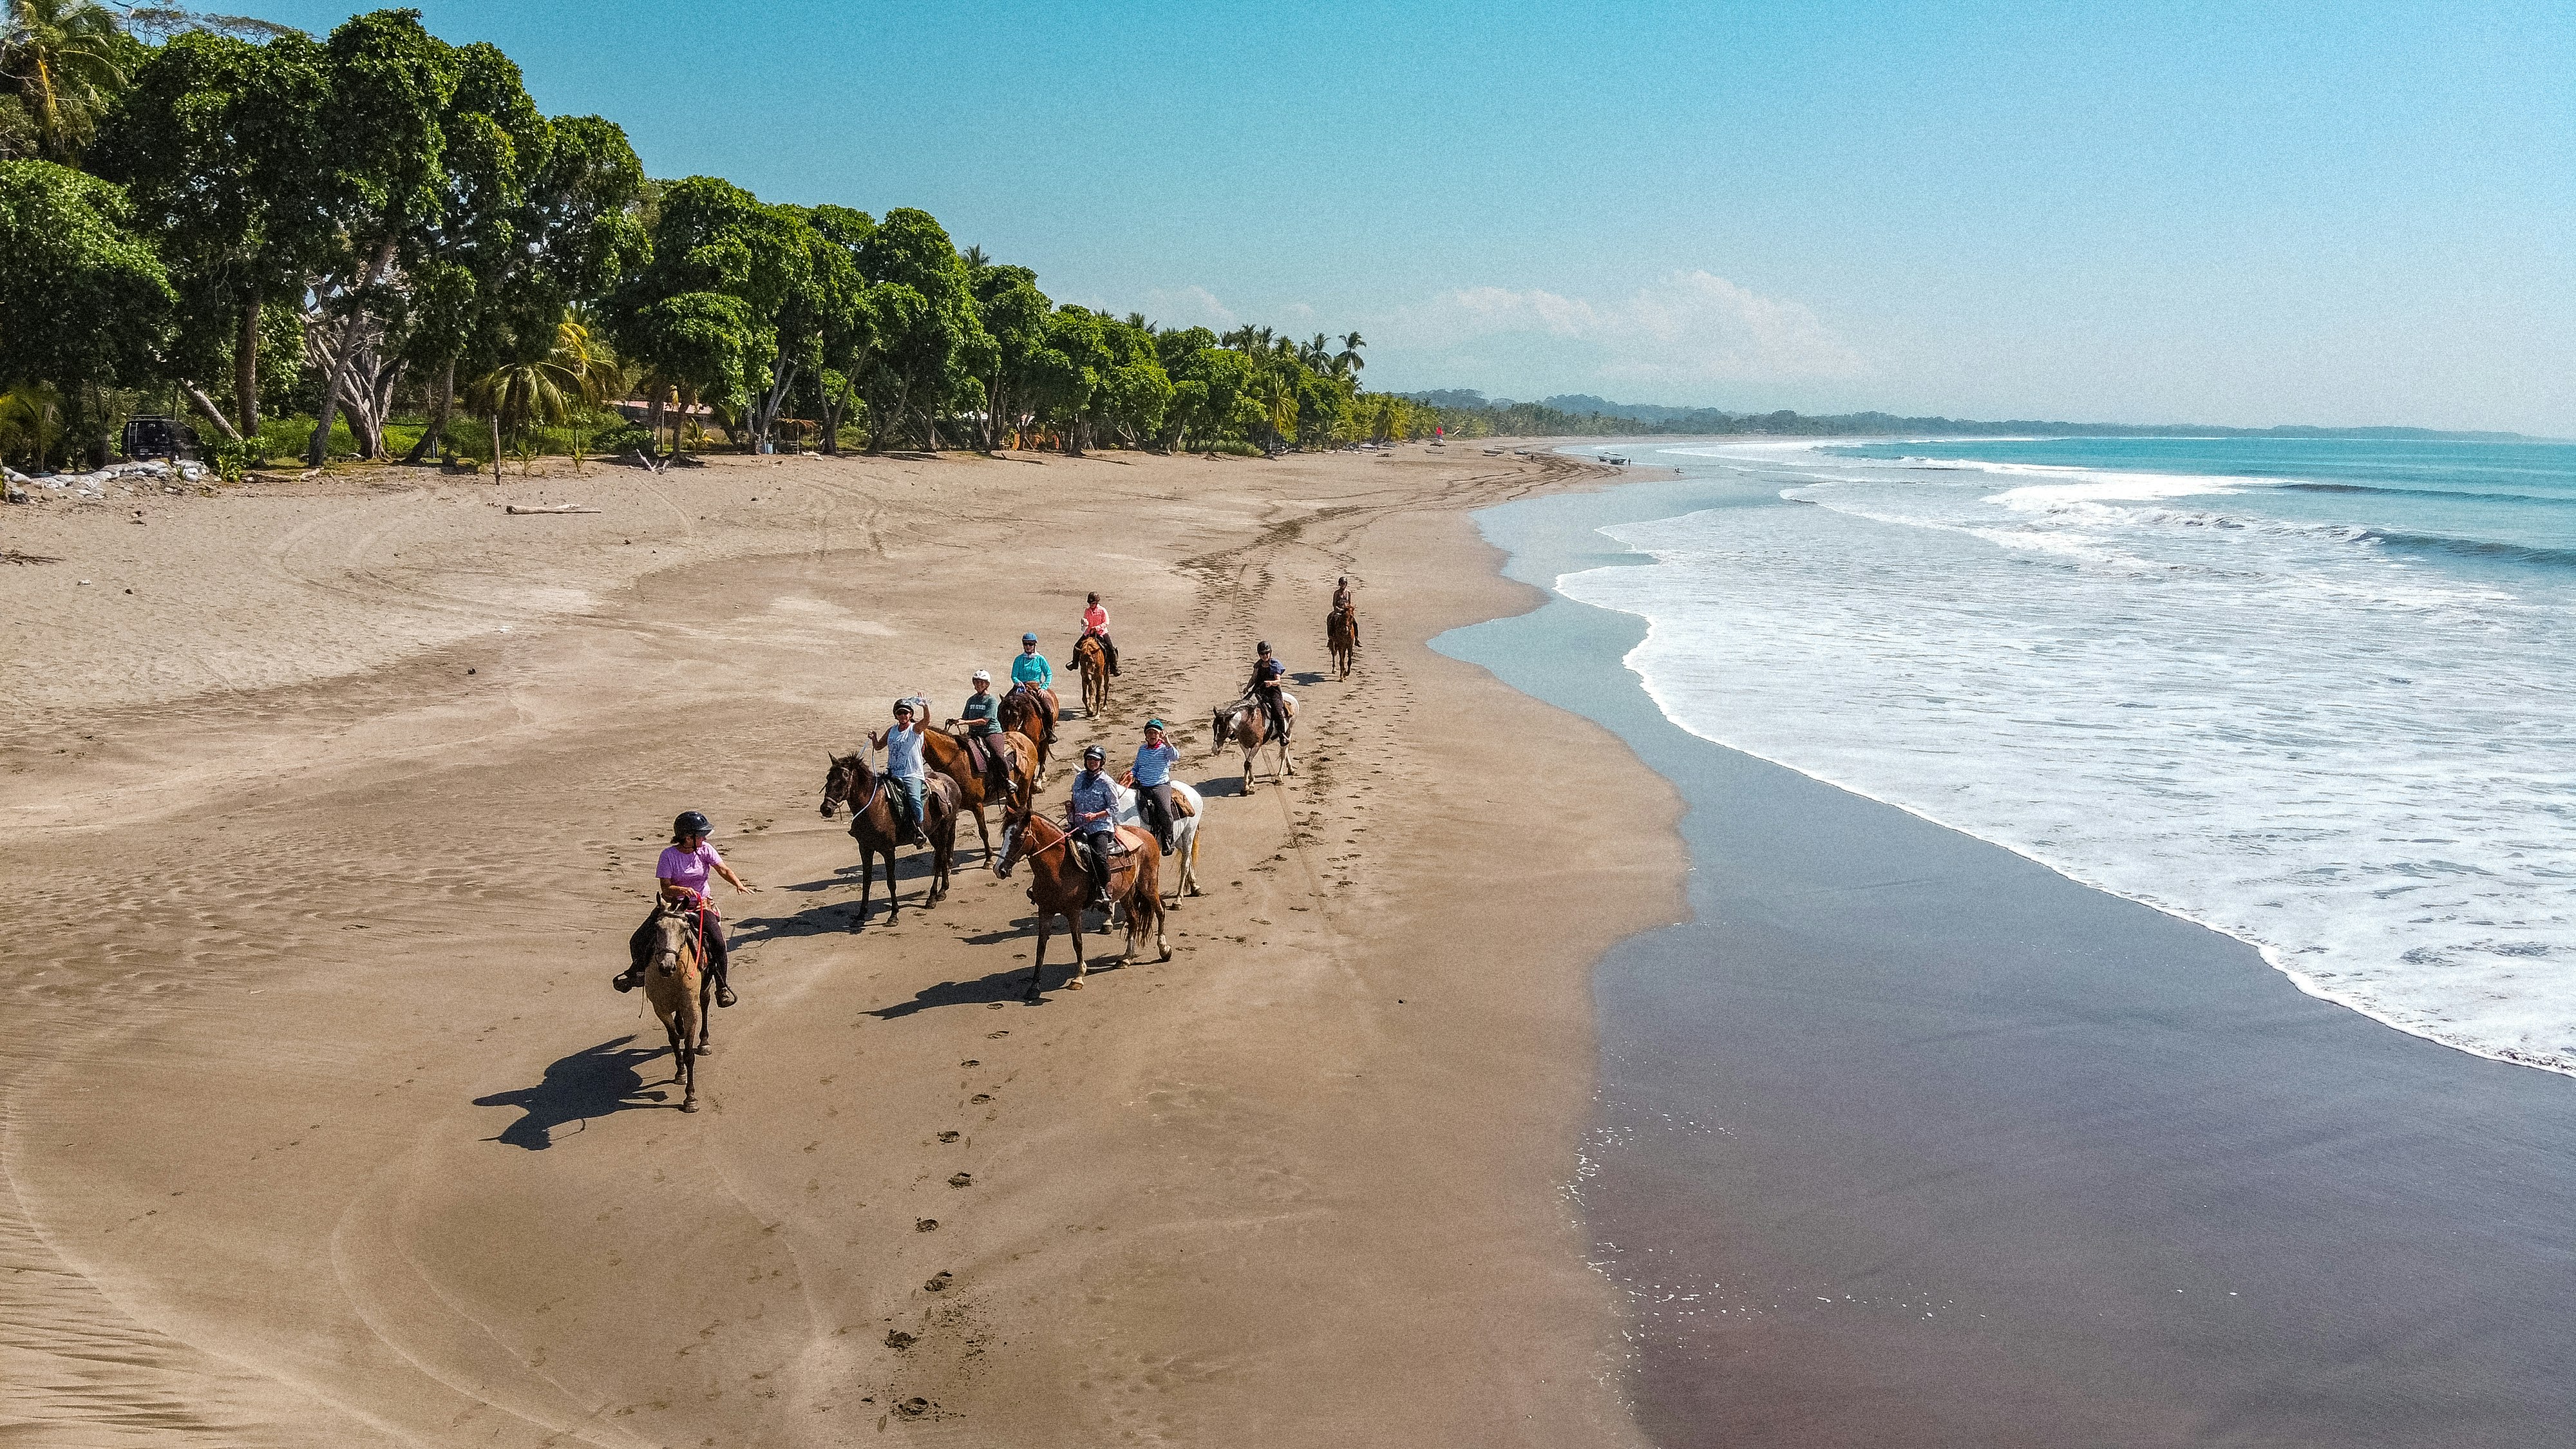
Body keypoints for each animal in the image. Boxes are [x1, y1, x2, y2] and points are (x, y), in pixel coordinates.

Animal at [644, 897, 716, 1108]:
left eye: (684, 929)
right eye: (657, 927)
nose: (666, 966)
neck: (673, 977)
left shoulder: (691, 1009)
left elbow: (689, 1053)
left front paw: (690, 1098)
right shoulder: (660, 1009)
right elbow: (675, 1040)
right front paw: (680, 1073)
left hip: (705, 987)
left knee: (705, 1003)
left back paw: (704, 1043)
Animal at [819, 743, 963, 923]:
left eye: (844, 779)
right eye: (828, 778)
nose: (826, 809)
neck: (873, 806)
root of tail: (951, 783)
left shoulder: (888, 850)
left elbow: (891, 882)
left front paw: (894, 914)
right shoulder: (865, 848)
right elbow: (867, 881)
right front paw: (861, 914)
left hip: (944, 828)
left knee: (939, 859)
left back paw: (932, 898)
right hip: (933, 832)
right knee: (942, 856)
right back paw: (942, 891)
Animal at [922, 721, 1030, 856]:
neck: (956, 762)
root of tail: (1024, 738)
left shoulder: (977, 805)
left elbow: (983, 831)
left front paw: (989, 856)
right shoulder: (954, 808)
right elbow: (951, 838)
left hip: (1026, 782)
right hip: (1009, 793)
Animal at [999, 794, 1175, 1000]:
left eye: (1019, 836)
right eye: (1004, 835)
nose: (999, 869)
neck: (1058, 867)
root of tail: (1145, 835)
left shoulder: (1074, 912)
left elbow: (1078, 943)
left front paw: (1078, 977)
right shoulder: (1045, 911)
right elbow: (1041, 946)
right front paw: (1034, 986)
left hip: (1147, 884)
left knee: (1160, 911)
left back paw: (1164, 949)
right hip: (1126, 892)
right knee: (1134, 918)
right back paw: (1126, 958)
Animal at [1206, 690, 1288, 789]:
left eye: (1224, 728)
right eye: (1213, 726)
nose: (1215, 750)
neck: (1248, 721)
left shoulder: (1257, 745)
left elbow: (1247, 763)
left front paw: (1246, 788)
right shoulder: (1244, 745)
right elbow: (1248, 762)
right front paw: (1250, 782)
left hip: (1288, 732)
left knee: (1284, 753)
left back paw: (1279, 777)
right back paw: (1290, 769)